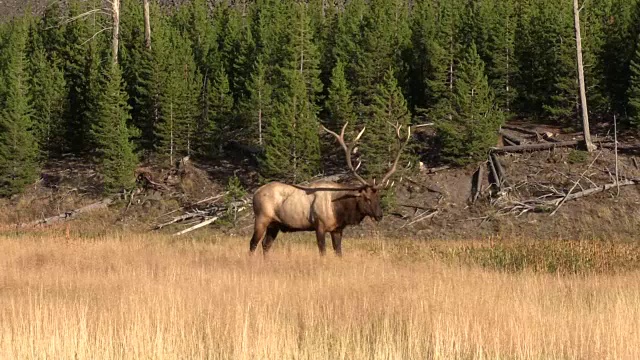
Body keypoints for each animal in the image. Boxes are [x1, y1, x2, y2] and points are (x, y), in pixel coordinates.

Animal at [248, 121, 412, 256]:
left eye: (378, 197)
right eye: (366, 198)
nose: (379, 215)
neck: (340, 209)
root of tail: (255, 193)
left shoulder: (337, 229)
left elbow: (338, 252)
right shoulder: (319, 225)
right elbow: (323, 251)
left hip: (274, 224)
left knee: (265, 245)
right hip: (262, 218)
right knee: (253, 243)